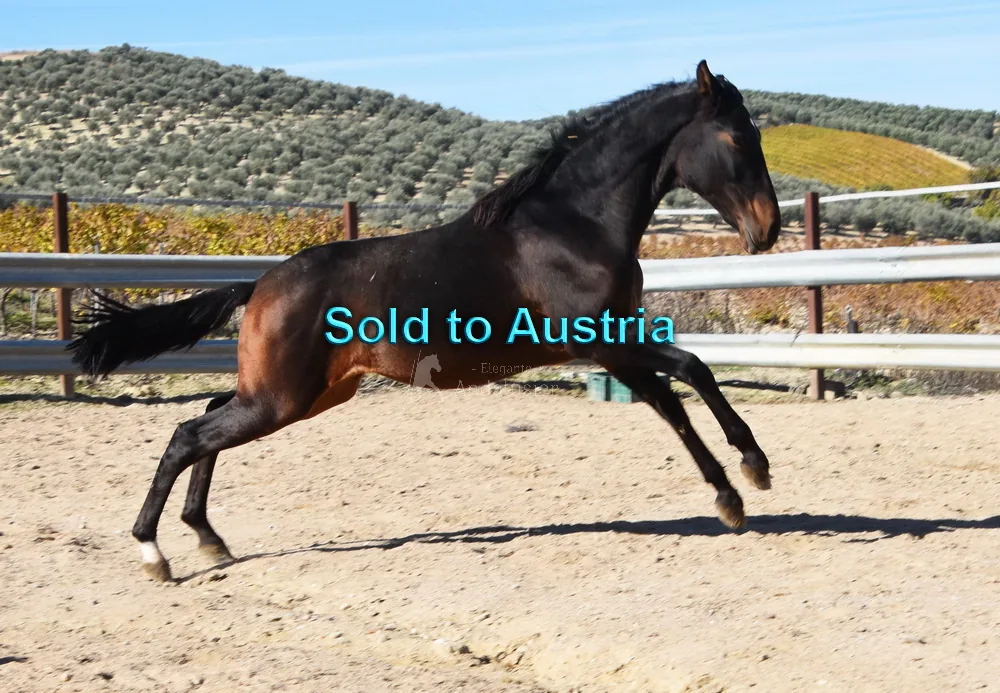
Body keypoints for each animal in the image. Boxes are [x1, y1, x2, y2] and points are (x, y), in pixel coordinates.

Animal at [67, 60, 782, 583]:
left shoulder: (617, 349)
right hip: (282, 397)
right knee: (188, 433)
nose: (767, 231)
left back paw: (209, 540)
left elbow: (677, 396)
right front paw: (748, 474)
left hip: (303, 393)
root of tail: (261, 283)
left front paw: (736, 489)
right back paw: (155, 554)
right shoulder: (606, 344)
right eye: (736, 138)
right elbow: (690, 376)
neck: (571, 226)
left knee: (208, 421)